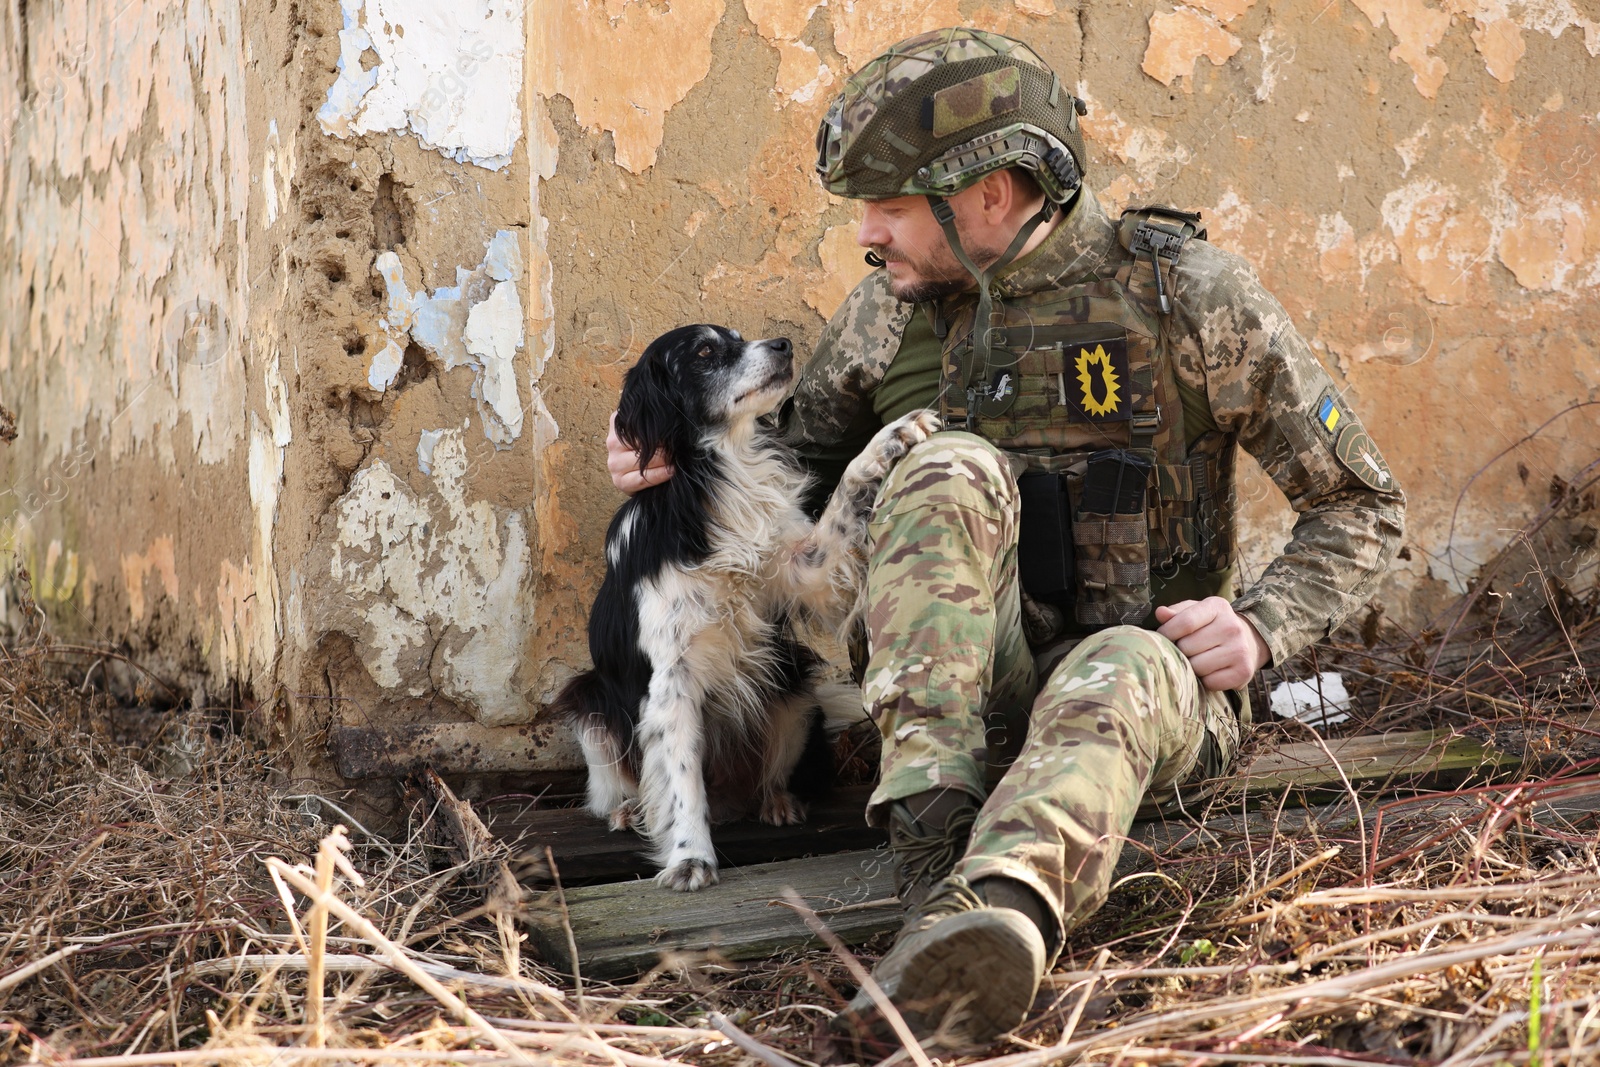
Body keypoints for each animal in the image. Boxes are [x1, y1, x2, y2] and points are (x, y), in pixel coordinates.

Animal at [560, 326, 940, 895]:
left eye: (740, 337)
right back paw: (631, 812)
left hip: (794, 690)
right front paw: (690, 858)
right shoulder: (670, 681)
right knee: (632, 783)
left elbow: (842, 499)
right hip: (590, 706)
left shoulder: (807, 573)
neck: (723, 472)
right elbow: (680, 780)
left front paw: (891, 438)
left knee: (772, 771)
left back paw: (778, 801)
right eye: (704, 352)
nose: (783, 343)